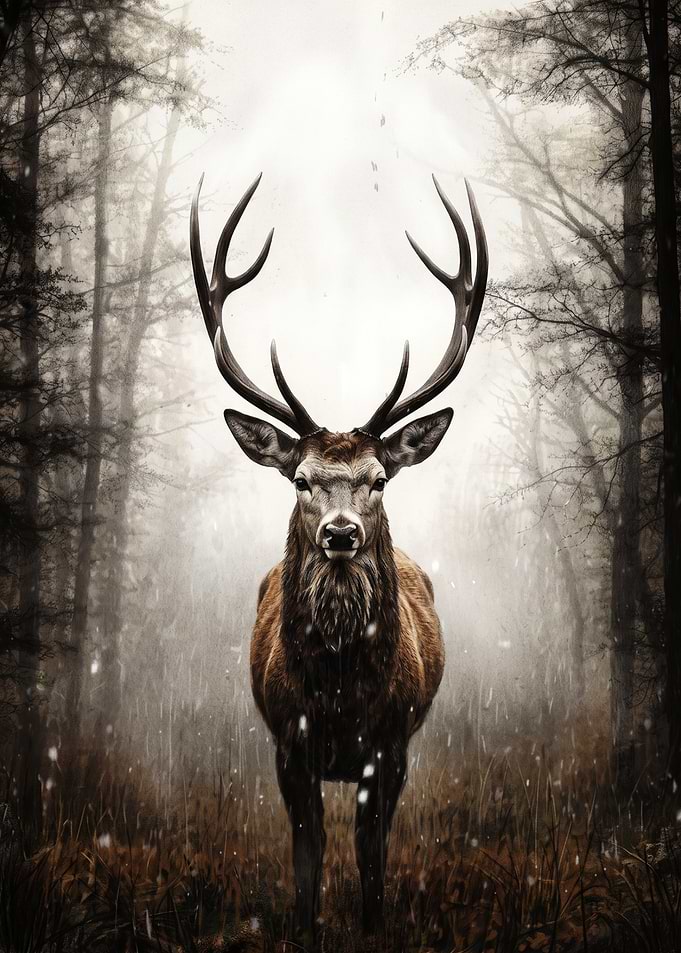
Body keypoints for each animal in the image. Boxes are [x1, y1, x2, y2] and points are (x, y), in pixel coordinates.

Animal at [190, 172, 488, 941]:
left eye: (378, 479)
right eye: (300, 479)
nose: (341, 533)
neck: (339, 694)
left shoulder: (390, 744)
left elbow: (371, 854)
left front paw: (373, 925)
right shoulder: (288, 744)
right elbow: (308, 853)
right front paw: (304, 927)